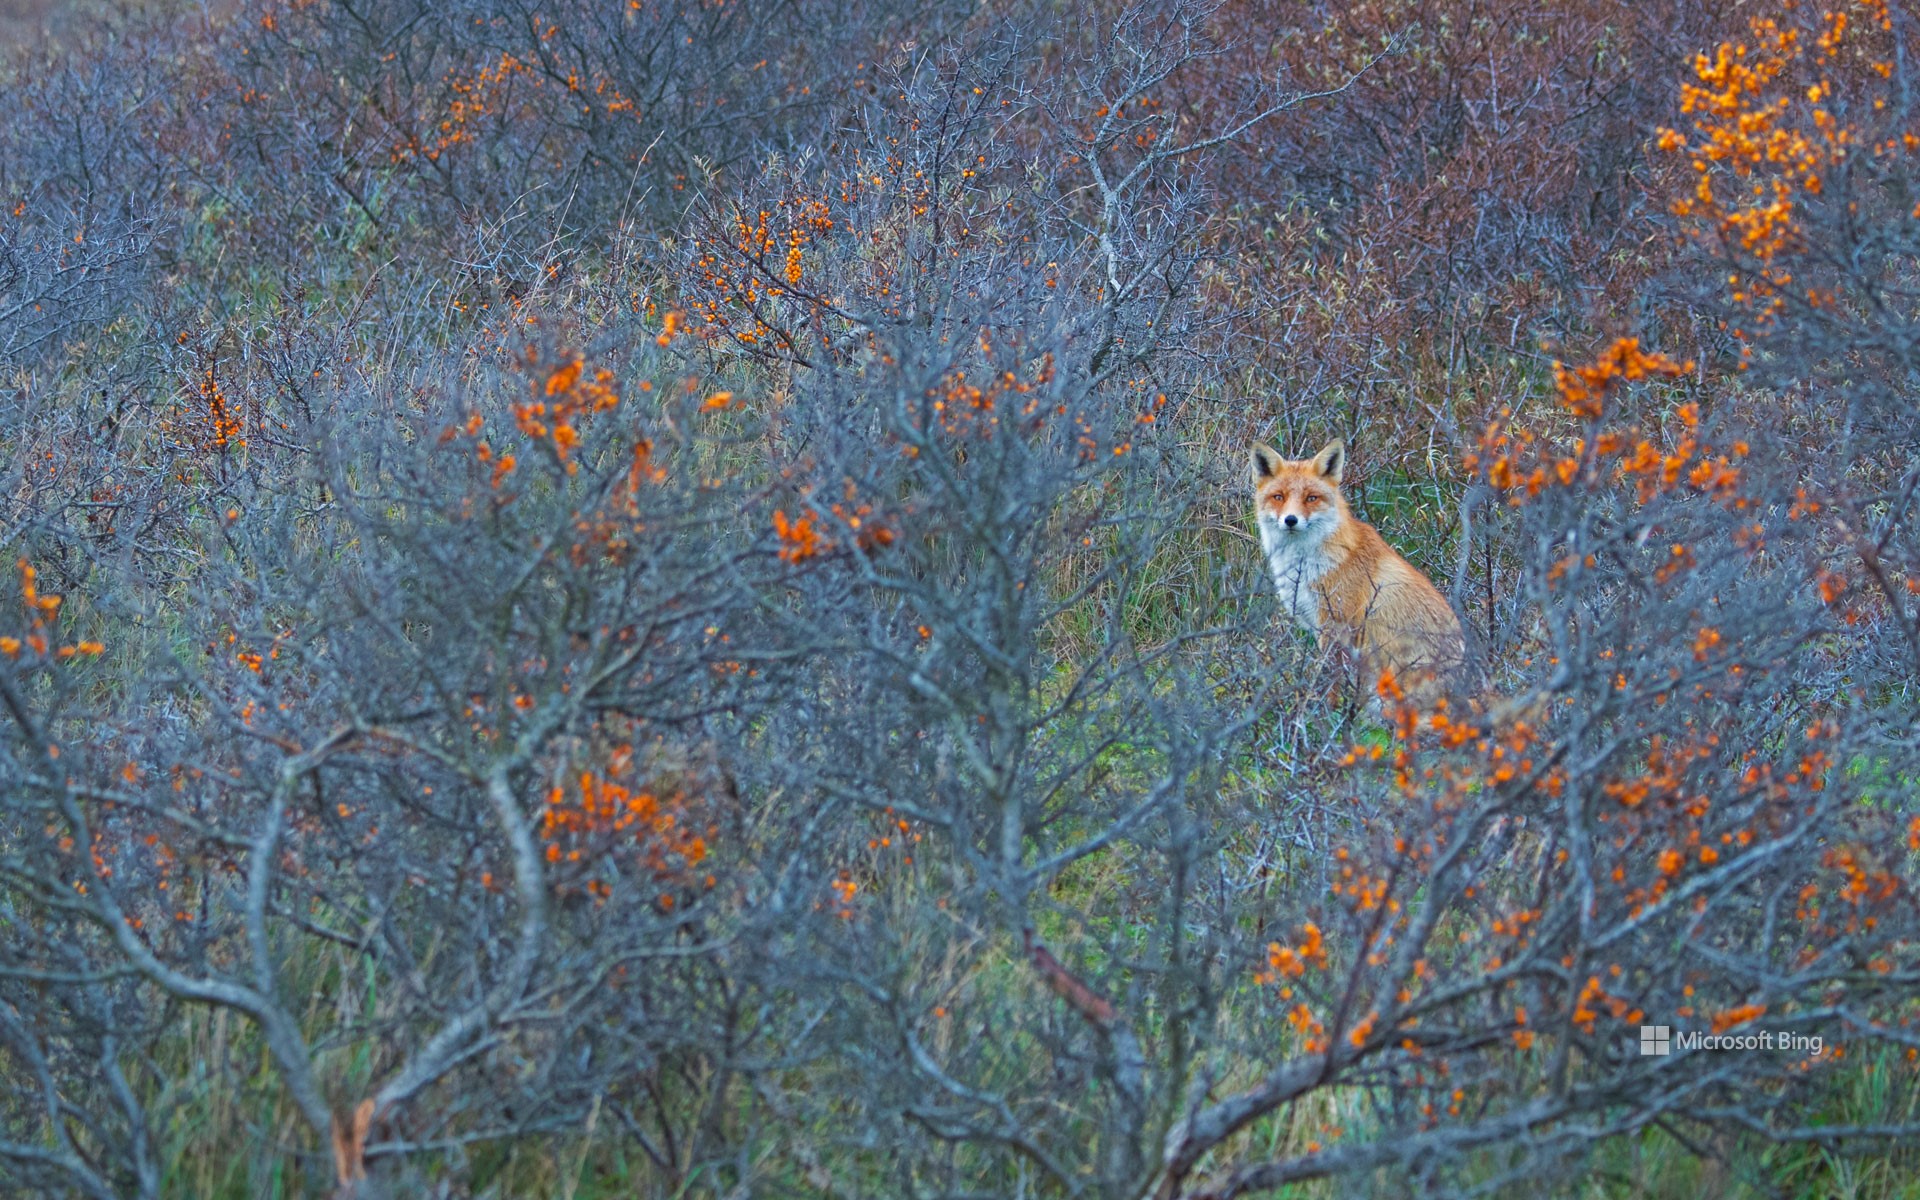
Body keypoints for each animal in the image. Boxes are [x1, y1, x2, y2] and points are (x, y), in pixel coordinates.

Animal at [1252, 438, 1468, 709]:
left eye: (1311, 498)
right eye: (1278, 497)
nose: (1290, 520)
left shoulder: (1336, 625)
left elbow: (1330, 682)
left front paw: (1324, 712)